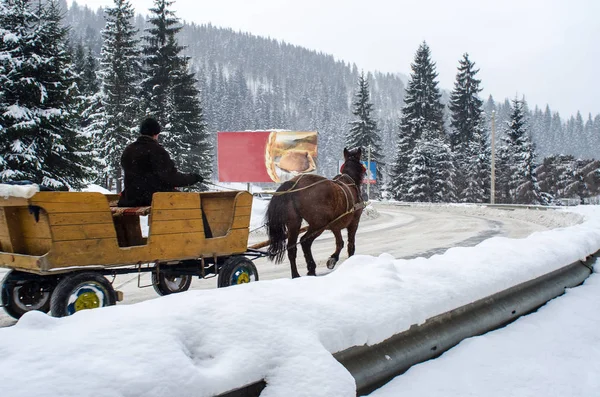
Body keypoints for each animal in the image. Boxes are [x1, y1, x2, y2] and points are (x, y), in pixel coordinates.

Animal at [266, 147, 366, 276]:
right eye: (362, 166)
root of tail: (294, 184)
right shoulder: (354, 223)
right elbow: (350, 245)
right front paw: (342, 260)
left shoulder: (335, 226)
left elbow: (340, 242)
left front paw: (333, 259)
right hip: (318, 224)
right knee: (305, 241)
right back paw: (311, 268)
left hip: (294, 222)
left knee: (291, 248)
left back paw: (296, 274)